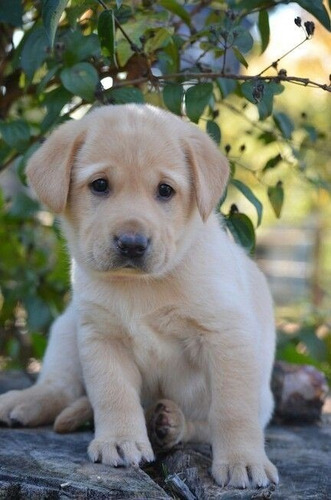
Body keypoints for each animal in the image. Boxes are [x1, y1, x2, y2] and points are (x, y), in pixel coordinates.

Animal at [0, 105, 280, 488]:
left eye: (165, 190)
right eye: (100, 185)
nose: (132, 244)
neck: (142, 286)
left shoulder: (227, 335)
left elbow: (232, 408)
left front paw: (244, 460)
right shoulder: (101, 335)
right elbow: (112, 393)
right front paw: (120, 441)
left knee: (203, 425)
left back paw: (170, 423)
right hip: (67, 325)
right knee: (62, 385)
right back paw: (24, 402)